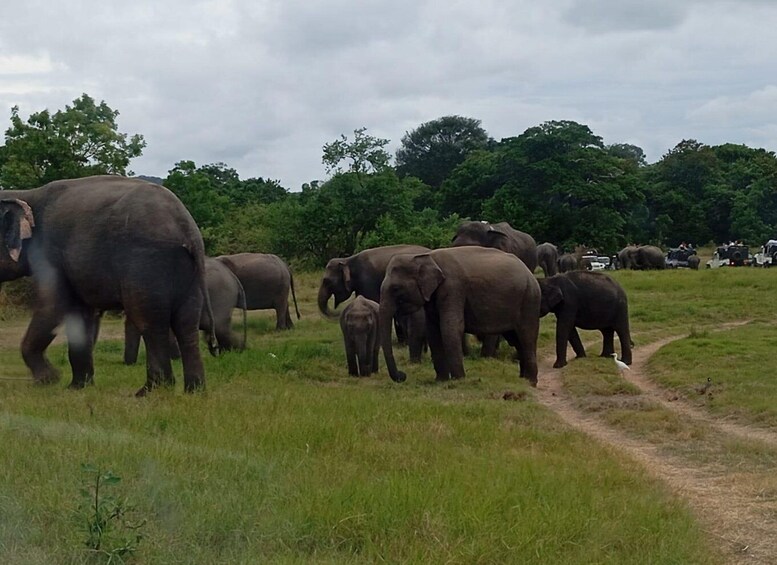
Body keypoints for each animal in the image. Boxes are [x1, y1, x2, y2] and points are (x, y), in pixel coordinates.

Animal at [0, 174, 212, 394]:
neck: (25, 194)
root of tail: (187, 228)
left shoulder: (48, 254)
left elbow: (53, 305)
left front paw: (49, 380)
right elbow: (82, 315)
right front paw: (77, 388)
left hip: (146, 263)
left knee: (150, 322)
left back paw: (149, 392)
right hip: (187, 272)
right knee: (186, 323)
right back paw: (194, 392)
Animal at [378, 247, 536, 384]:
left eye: (396, 288)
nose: (403, 375)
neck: (427, 257)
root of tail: (529, 273)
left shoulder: (453, 288)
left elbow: (450, 328)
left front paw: (459, 380)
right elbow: (433, 331)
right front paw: (440, 381)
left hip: (529, 300)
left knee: (526, 337)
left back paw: (531, 382)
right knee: (516, 340)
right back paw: (523, 381)